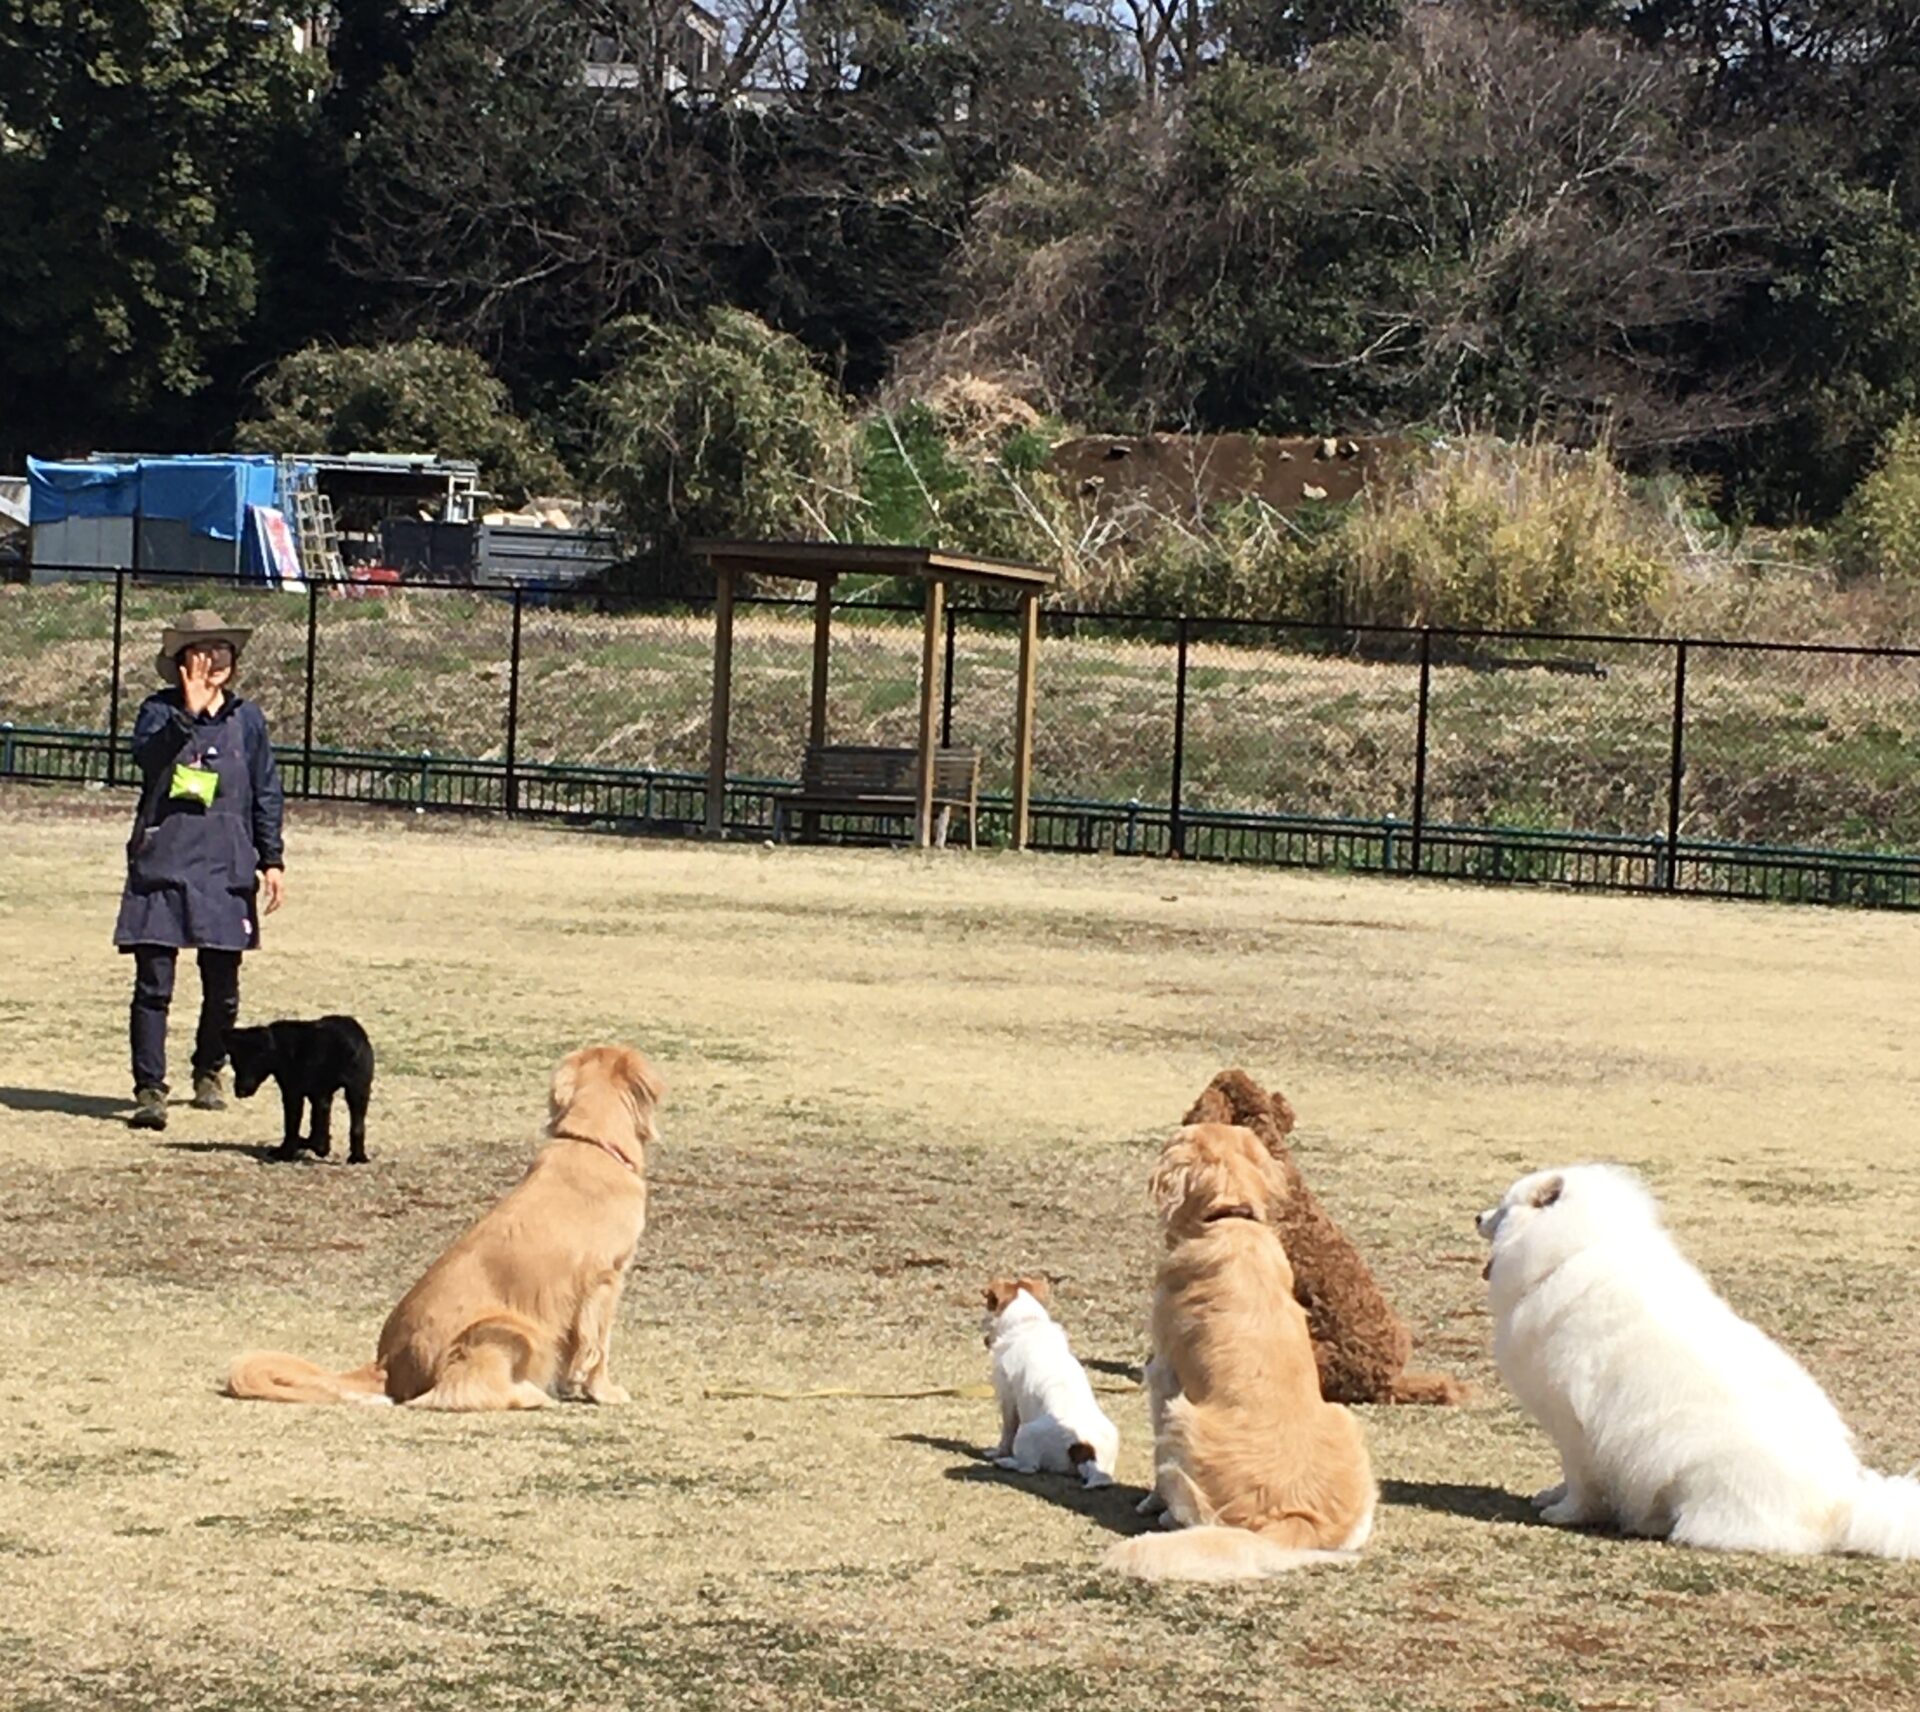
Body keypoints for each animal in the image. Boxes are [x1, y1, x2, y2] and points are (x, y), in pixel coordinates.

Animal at [226, 1044, 661, 1410]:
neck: (590, 1143)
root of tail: (387, 1365)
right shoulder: (604, 1282)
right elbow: (598, 1346)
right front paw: (604, 1391)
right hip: (509, 1328)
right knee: (454, 1393)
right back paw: (529, 1395)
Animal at [228, 1016, 376, 1164]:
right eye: (235, 1065)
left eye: (253, 1063)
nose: (239, 1091)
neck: (278, 1048)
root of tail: (352, 1043)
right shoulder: (318, 1094)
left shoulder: (293, 1094)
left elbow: (292, 1125)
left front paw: (285, 1152)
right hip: (357, 1091)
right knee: (356, 1126)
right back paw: (357, 1157)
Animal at [981, 1276, 1120, 1487]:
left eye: (988, 1302)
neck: (1029, 1322)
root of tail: (1085, 1448)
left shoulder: (1008, 1399)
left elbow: (1007, 1433)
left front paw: (997, 1452)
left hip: (1026, 1432)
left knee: (1028, 1467)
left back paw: (1005, 1462)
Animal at [1105, 1123, 1377, 1581]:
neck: (1228, 1217)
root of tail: (1293, 1518)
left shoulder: (1161, 1373)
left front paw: (1150, 1501)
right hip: (1344, 1422)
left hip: (1183, 1417)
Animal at [1479, 1164, 1920, 1557]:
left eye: (1502, 1208)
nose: (1476, 1216)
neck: (1570, 1253)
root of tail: (1842, 1507)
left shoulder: (1573, 1424)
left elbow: (1579, 1481)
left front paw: (1564, 1512)